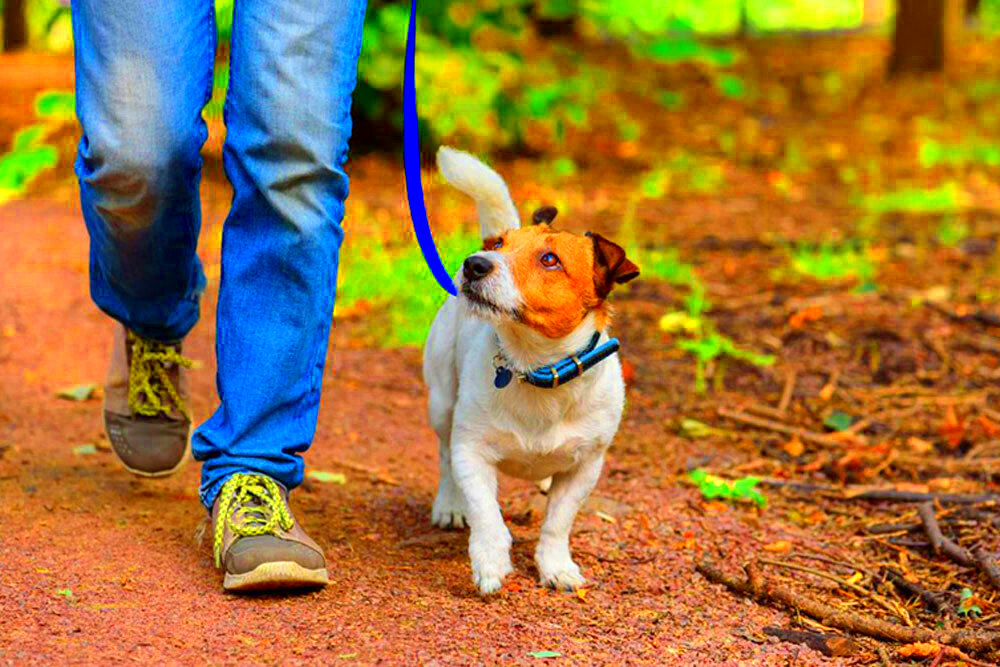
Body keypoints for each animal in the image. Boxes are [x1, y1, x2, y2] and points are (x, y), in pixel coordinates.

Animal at [422, 146, 640, 596]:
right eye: (500, 245)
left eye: (549, 260)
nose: (474, 263)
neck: (534, 367)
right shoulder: (471, 451)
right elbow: (486, 512)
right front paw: (490, 561)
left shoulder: (585, 467)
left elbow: (558, 521)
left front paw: (556, 566)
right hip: (441, 402)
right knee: (444, 456)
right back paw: (450, 504)